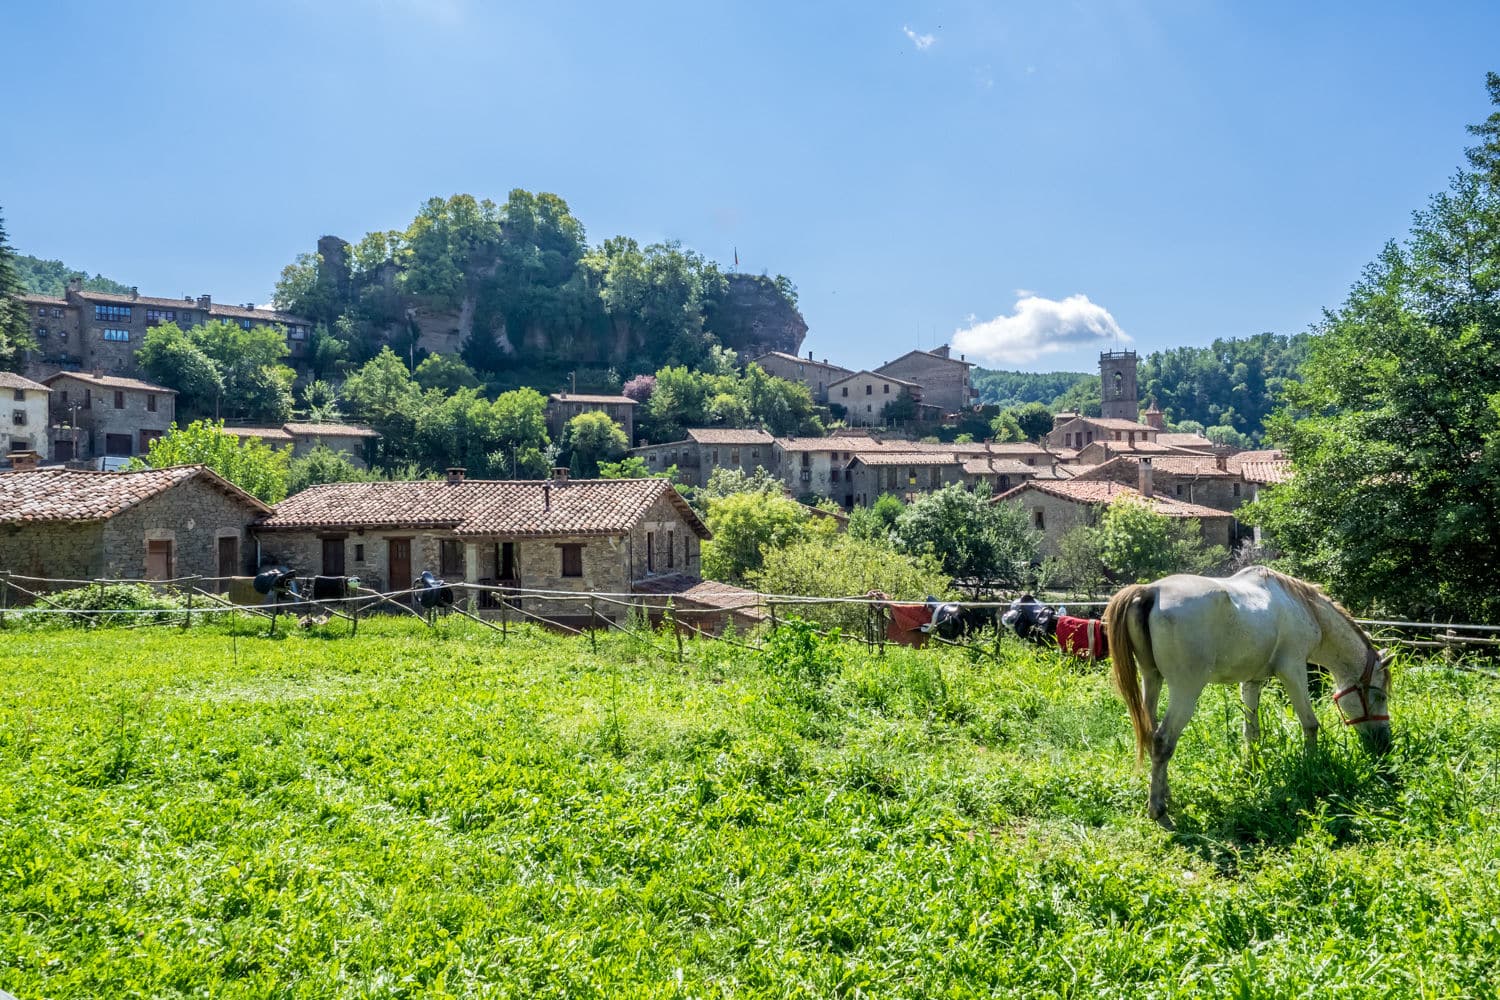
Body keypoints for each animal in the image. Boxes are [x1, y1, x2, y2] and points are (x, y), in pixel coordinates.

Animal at [1104, 566, 1392, 828]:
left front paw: (1251, 770)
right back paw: (1159, 810)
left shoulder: (1252, 681)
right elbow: (1310, 724)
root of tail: (1150, 591)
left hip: (1151, 680)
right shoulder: (1293, 670)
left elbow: (1251, 731)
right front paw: (1313, 767)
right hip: (1186, 690)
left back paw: (1165, 795)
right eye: (1379, 695)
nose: (1384, 745)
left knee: (1151, 735)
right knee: (1163, 741)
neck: (1305, 608)